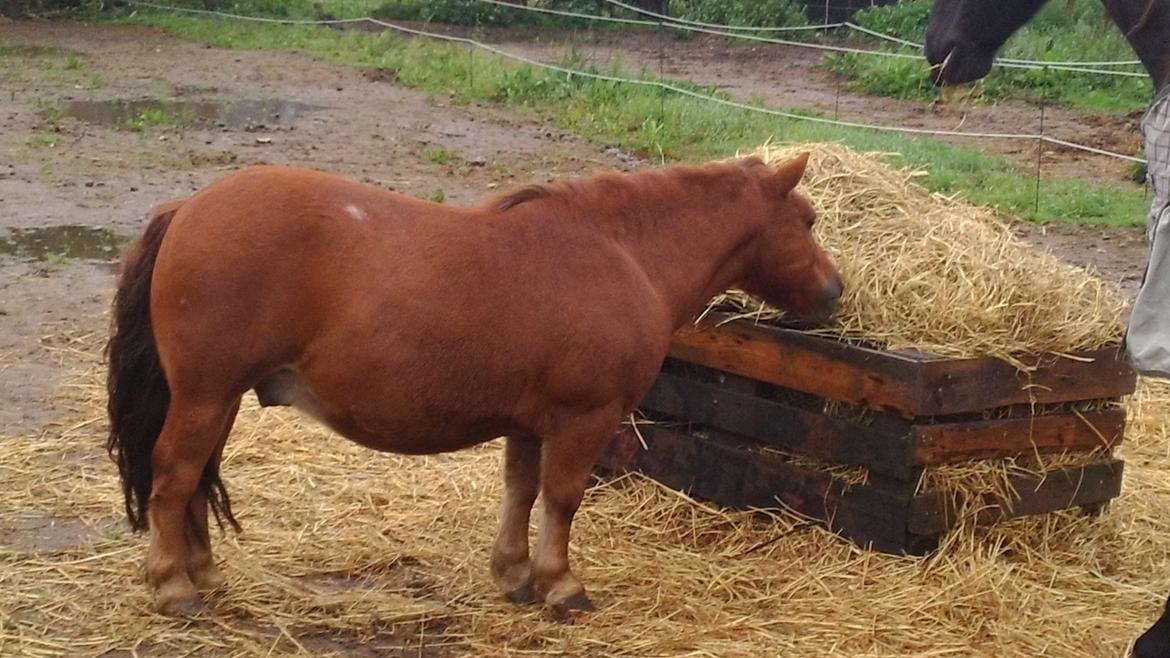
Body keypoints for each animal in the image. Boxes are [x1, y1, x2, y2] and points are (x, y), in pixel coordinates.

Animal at [105, 152, 842, 613]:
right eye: (807, 221)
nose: (834, 291)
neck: (620, 251)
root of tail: (188, 208)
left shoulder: (531, 424)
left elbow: (521, 492)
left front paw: (515, 574)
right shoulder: (584, 420)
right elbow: (562, 499)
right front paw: (559, 585)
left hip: (218, 400)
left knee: (196, 480)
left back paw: (201, 572)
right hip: (205, 397)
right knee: (174, 477)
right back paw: (174, 586)